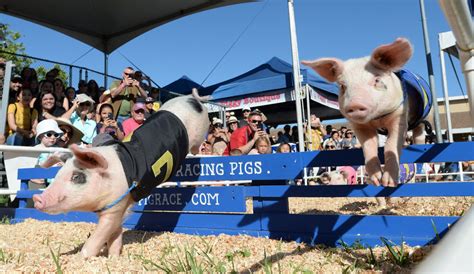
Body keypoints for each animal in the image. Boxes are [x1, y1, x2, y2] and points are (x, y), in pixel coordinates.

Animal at [32, 88, 210, 256]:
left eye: (77, 176)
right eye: (57, 174)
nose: (37, 198)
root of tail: (193, 99)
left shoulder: (116, 205)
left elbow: (98, 237)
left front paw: (83, 258)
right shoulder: (117, 206)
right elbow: (114, 234)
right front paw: (114, 256)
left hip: (202, 128)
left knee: (197, 144)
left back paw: (197, 152)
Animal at [302, 38, 432, 187]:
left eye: (377, 80)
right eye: (342, 86)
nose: (355, 104)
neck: (378, 118)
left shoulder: (400, 117)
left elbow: (391, 144)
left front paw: (388, 182)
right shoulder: (359, 127)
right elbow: (369, 146)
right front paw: (377, 180)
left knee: (419, 134)